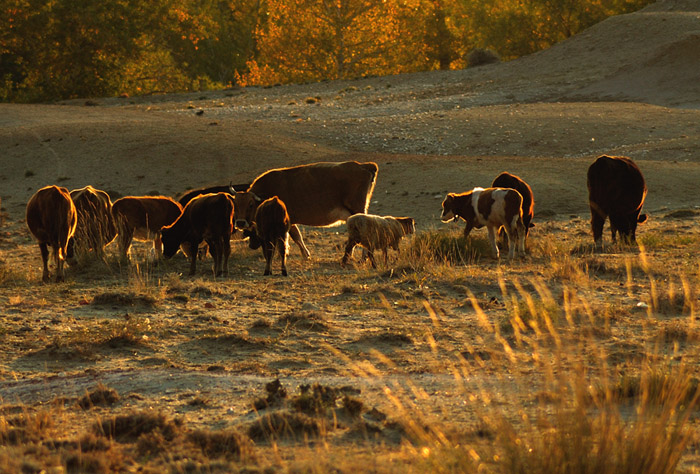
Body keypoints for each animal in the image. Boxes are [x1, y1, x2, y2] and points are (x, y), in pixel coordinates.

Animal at [232, 162, 378, 260]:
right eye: (236, 204)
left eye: (251, 204)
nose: (240, 223)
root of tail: (363, 166)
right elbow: (294, 236)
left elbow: (292, 237)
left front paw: (300, 254)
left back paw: (363, 257)